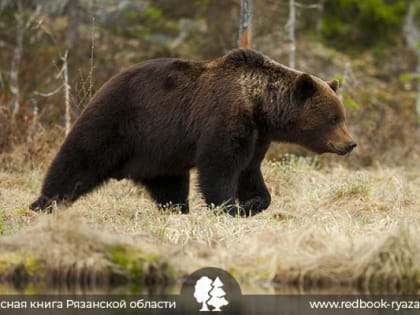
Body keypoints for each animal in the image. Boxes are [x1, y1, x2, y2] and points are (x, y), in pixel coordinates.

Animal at [29, 48, 356, 217]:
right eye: (333, 118)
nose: (350, 143)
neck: (260, 104)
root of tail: (104, 84)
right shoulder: (224, 117)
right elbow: (219, 166)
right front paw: (228, 207)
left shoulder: (257, 135)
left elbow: (250, 171)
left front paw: (252, 203)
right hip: (118, 120)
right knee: (78, 160)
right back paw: (42, 203)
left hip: (160, 154)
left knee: (170, 186)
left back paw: (178, 210)